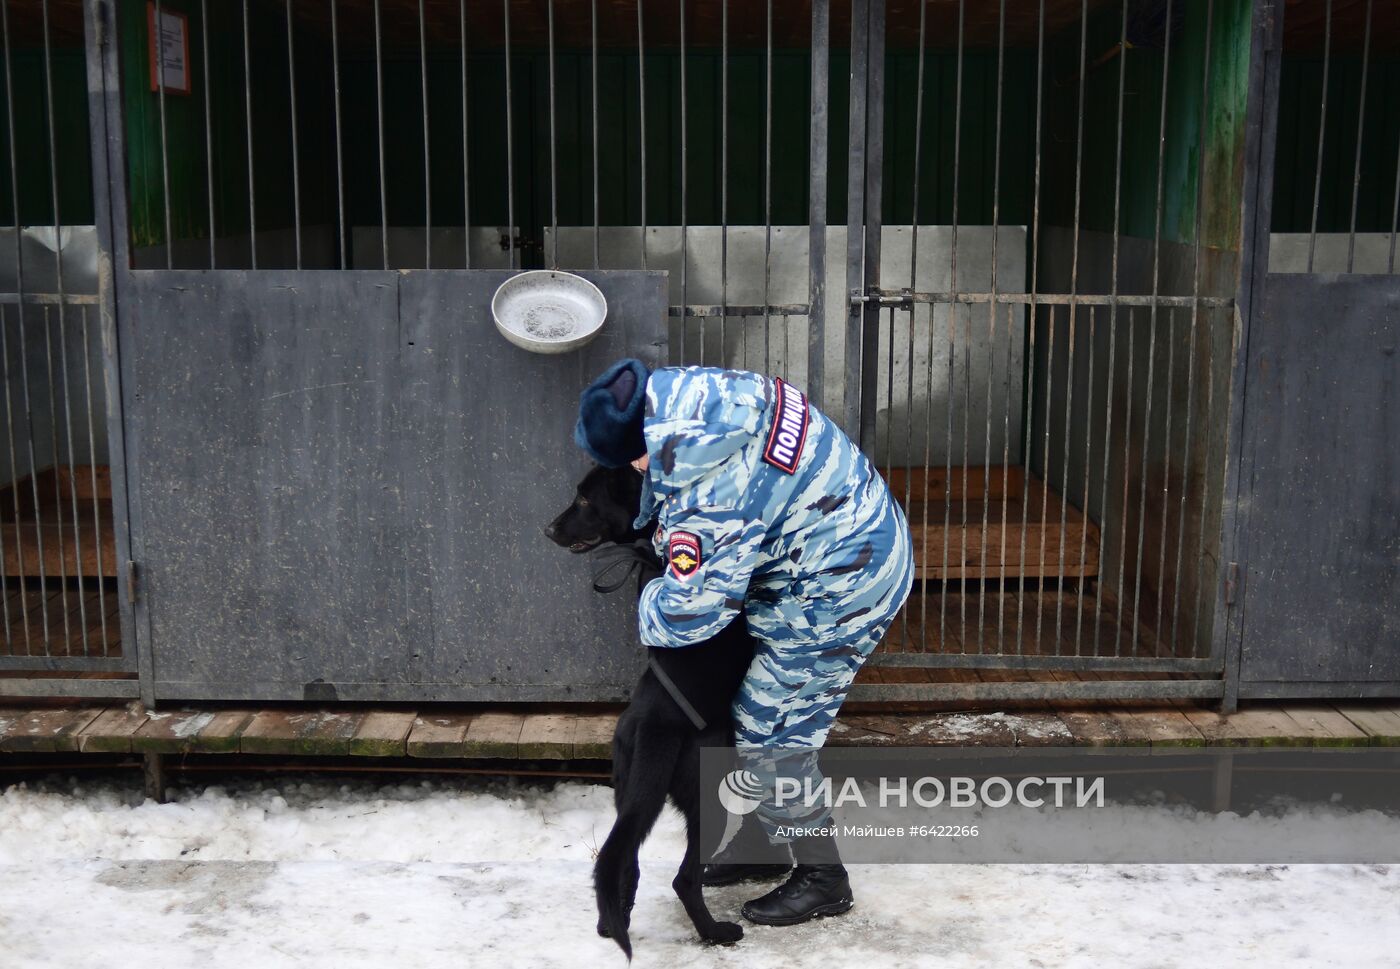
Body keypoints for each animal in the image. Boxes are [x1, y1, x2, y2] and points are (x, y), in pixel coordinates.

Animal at [543, 467, 756, 952]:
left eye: (585, 500)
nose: (549, 529)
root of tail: (648, 726)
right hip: (706, 793)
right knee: (684, 879)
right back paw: (715, 932)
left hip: (627, 789)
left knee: (626, 862)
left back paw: (612, 923)